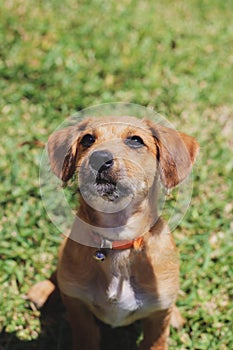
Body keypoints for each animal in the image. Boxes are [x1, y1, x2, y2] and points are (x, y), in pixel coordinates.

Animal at [27, 116, 198, 348]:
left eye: (136, 140)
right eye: (87, 139)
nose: (99, 157)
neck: (118, 241)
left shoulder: (158, 319)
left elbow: (156, 340)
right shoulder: (79, 310)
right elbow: (85, 338)